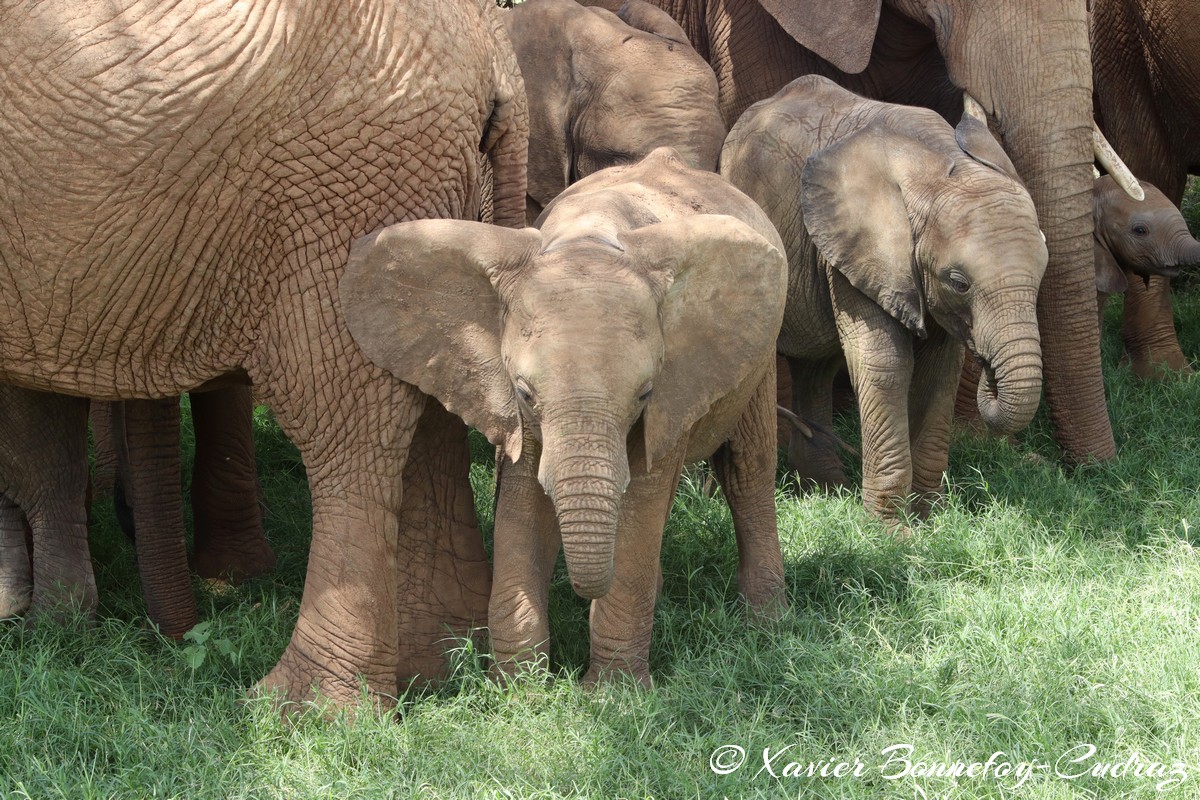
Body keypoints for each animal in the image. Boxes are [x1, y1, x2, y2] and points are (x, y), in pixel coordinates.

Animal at [0, 1, 525, 714]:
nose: (174, 642)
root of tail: (493, 51)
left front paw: (36, 623)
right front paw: (45, 622)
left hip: (345, 193)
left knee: (345, 427)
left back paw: (300, 709)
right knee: (425, 409)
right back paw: (433, 670)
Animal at [338, 146, 787, 686]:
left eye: (646, 393)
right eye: (525, 394)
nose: (580, 596)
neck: (590, 237)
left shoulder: (674, 387)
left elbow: (642, 500)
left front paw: (613, 693)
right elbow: (521, 500)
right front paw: (518, 689)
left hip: (759, 354)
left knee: (747, 469)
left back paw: (766, 623)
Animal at [720, 74, 1051, 525]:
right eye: (959, 283)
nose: (987, 364)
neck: (937, 166)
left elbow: (939, 372)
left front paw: (931, 518)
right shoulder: (857, 249)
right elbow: (887, 364)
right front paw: (892, 530)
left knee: (816, 367)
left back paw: (827, 487)